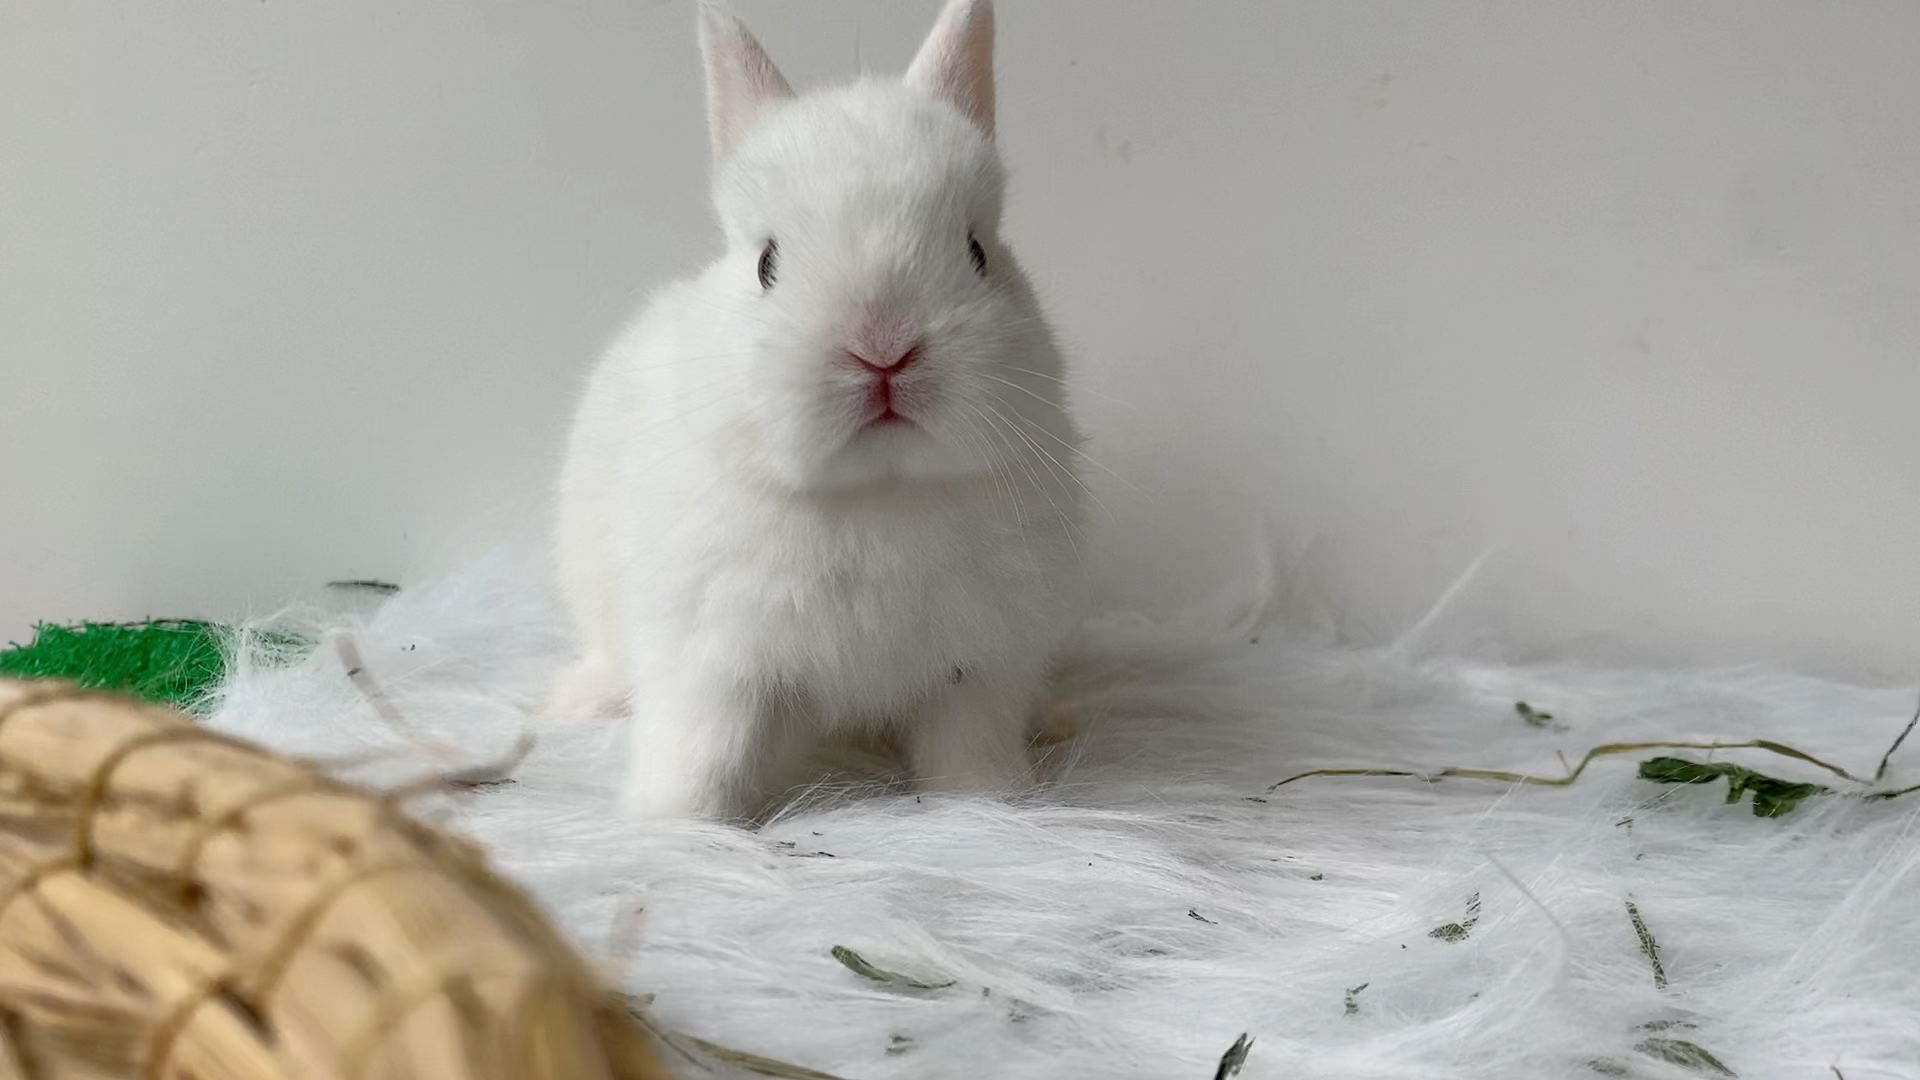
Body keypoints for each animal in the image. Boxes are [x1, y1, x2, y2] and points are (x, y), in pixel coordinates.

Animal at [549, 0, 1089, 821]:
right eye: (767, 263)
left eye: (976, 252)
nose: (883, 347)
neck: (877, 493)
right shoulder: (709, 656)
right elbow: (701, 747)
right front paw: (673, 821)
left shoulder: (979, 664)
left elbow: (968, 745)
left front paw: (988, 802)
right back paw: (577, 700)